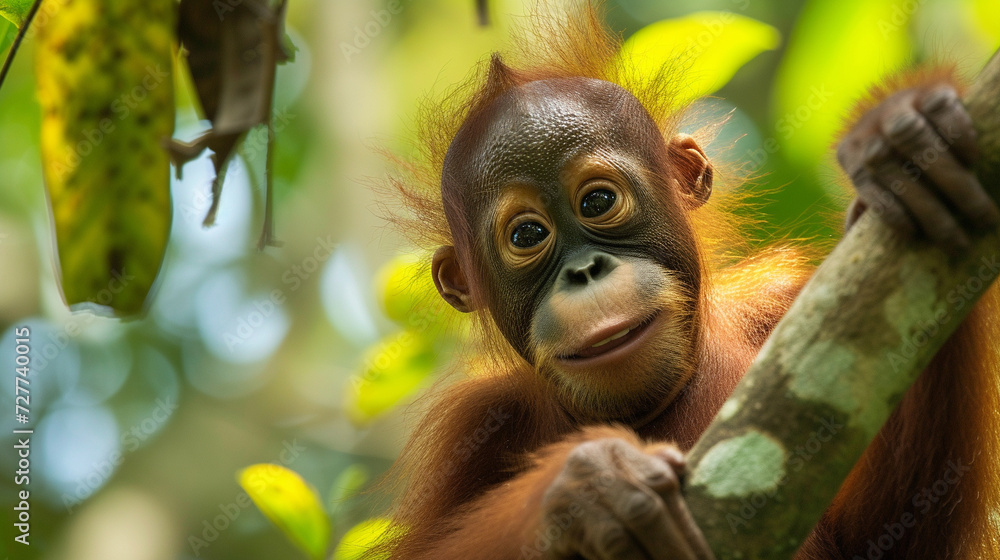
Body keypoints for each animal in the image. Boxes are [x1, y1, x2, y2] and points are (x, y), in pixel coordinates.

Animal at [377, 6, 1000, 559]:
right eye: (527, 235)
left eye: (597, 201)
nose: (585, 271)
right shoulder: (475, 424)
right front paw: (586, 490)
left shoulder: (785, 301)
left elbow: (896, 539)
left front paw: (902, 138)